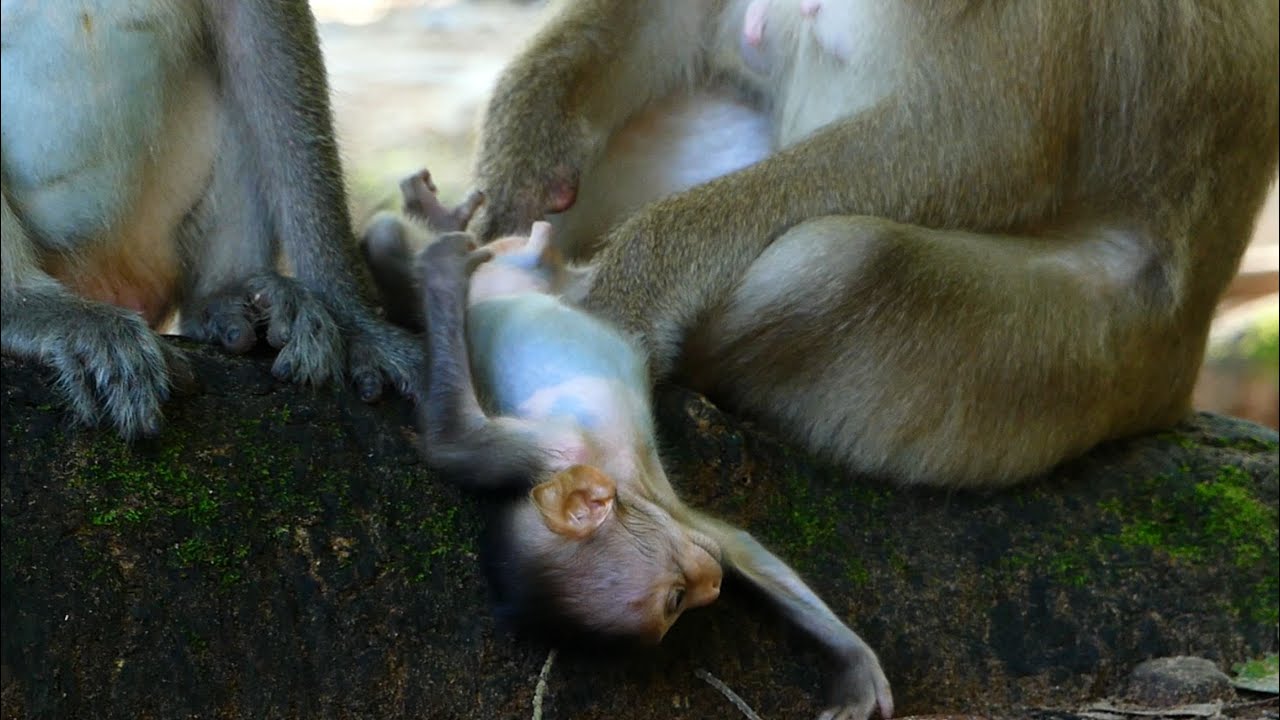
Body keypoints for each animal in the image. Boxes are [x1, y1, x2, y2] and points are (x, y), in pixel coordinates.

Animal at [416, 228, 893, 720]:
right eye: (678, 603)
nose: (714, 588)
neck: (622, 477)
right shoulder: (685, 527)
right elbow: (739, 546)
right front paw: (854, 661)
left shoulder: (554, 446)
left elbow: (454, 443)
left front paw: (440, 267)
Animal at [465, 0, 1280, 488]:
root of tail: (1175, 387)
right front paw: (522, 155)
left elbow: (985, 140)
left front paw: (636, 282)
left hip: (1070, 370)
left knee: (840, 263)